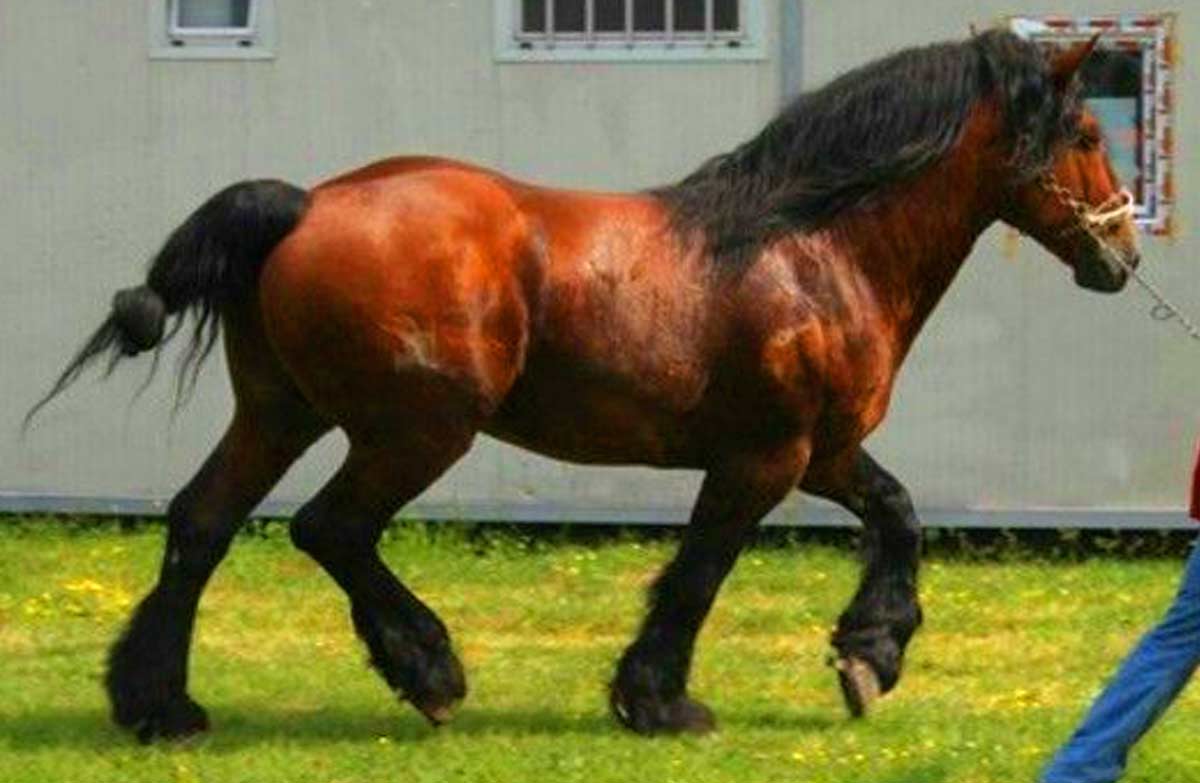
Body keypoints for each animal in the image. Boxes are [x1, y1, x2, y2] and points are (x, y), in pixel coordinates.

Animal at [28, 30, 1138, 742]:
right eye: (1086, 136)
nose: (1121, 256)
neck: (813, 245)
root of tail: (305, 205)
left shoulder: (821, 451)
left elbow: (900, 515)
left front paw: (870, 656)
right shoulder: (763, 457)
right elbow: (698, 574)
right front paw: (664, 703)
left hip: (280, 413)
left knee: (200, 523)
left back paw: (160, 707)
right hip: (416, 430)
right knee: (329, 529)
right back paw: (429, 672)